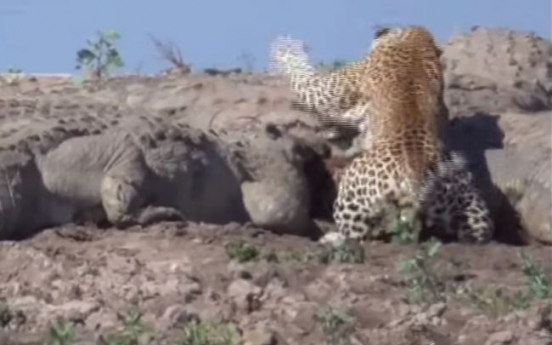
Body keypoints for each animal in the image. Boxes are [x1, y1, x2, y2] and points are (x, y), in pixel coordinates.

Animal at [326, 25, 494, 243]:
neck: (415, 39)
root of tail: (416, 179)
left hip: (350, 196)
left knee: (357, 236)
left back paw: (331, 238)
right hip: (471, 203)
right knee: (479, 233)